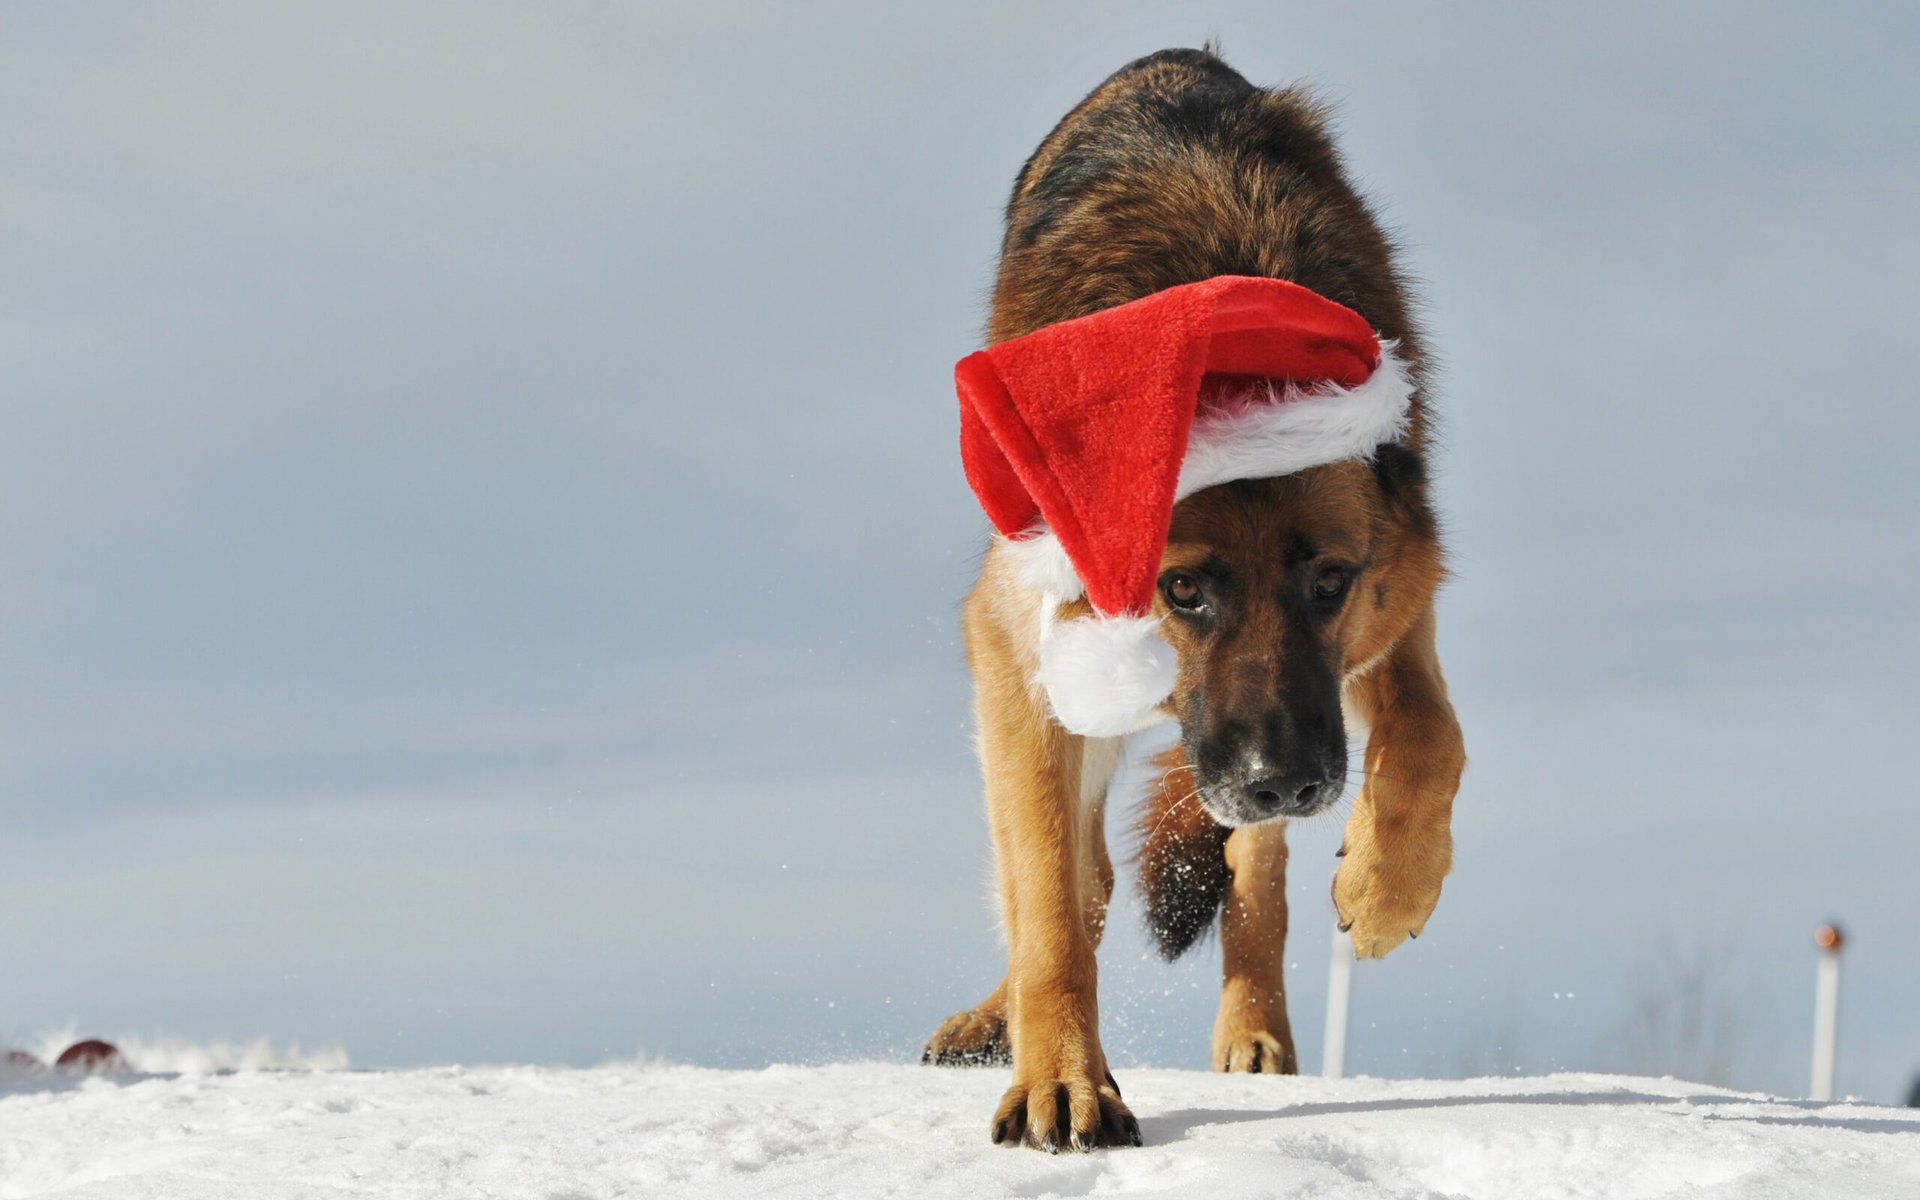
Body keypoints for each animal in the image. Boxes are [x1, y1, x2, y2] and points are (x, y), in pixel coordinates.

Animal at [924, 48, 1466, 1152]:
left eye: (1329, 580)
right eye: (1182, 589)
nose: (1283, 785)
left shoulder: (1394, 614)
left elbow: (1434, 735)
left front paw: (1389, 883)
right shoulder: (1017, 649)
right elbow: (1048, 898)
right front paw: (1061, 1078)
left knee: (1253, 883)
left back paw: (1257, 1029)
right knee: (1076, 879)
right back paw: (999, 1020)